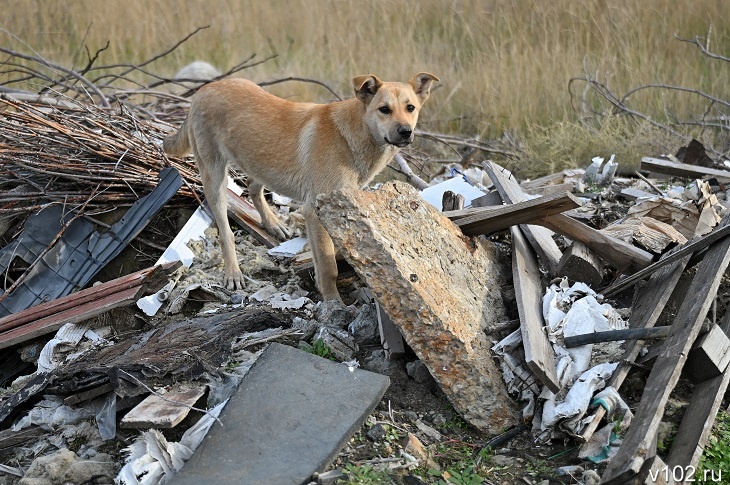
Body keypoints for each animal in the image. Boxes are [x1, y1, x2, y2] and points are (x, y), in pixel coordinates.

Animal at [164, 72, 438, 298]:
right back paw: (233, 272)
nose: (405, 131)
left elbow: (324, 259)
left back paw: (272, 224)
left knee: (253, 187)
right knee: (226, 231)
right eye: (384, 109)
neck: (353, 134)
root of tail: (204, 89)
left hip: (260, 159)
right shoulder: (315, 213)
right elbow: (329, 267)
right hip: (214, 177)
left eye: (410, 108)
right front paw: (333, 303)